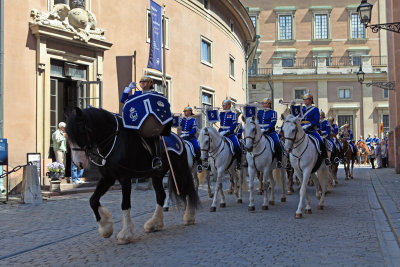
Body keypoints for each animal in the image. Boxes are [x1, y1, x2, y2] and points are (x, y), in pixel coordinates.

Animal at [65, 108, 200, 245]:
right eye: (68, 135)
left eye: (81, 131)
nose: (78, 163)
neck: (114, 142)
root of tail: (180, 139)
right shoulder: (108, 178)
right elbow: (92, 200)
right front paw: (105, 228)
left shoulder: (124, 178)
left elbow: (125, 204)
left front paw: (125, 234)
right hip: (157, 175)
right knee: (161, 196)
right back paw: (155, 224)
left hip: (179, 170)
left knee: (188, 191)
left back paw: (189, 217)